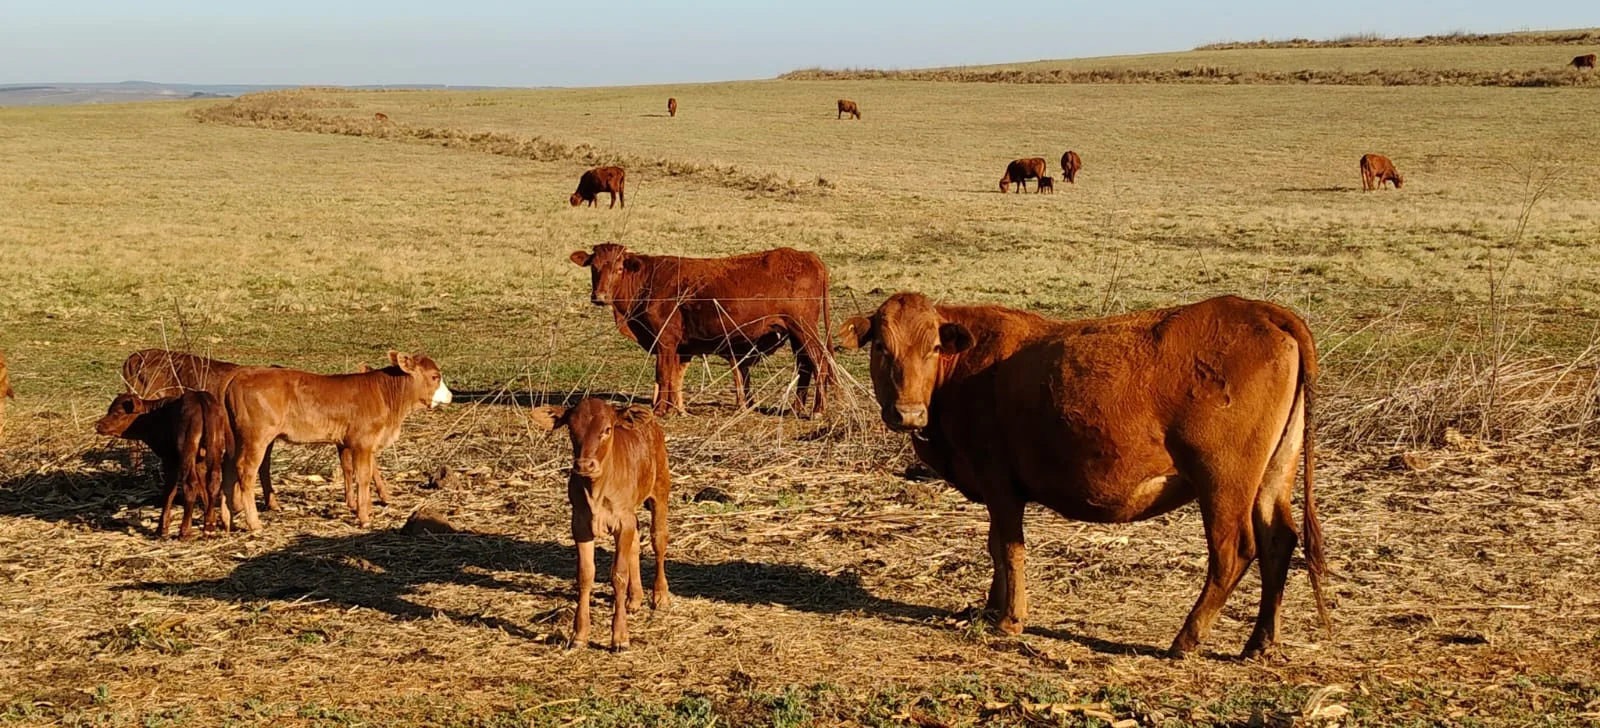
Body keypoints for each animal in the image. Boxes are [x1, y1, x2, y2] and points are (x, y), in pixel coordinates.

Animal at [95, 392, 231, 539]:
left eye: (118, 412)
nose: (98, 425)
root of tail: (200, 396)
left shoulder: (169, 457)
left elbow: (169, 492)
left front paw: (162, 529)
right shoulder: (199, 460)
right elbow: (203, 488)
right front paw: (210, 522)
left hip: (186, 447)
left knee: (190, 484)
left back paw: (184, 531)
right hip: (215, 444)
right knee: (214, 481)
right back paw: (209, 528)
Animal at [223, 351, 451, 531]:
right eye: (435, 376)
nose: (450, 396)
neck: (384, 395)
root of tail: (240, 376)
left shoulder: (354, 443)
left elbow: (357, 471)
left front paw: (364, 508)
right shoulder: (363, 443)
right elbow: (363, 477)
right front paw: (364, 517)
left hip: (237, 438)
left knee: (228, 468)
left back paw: (227, 521)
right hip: (257, 438)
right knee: (246, 472)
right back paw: (254, 523)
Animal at [532, 399, 671, 651]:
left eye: (607, 430)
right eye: (571, 429)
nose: (584, 464)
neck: (596, 490)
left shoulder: (622, 521)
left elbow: (618, 574)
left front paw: (620, 637)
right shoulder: (580, 523)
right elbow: (585, 574)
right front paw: (579, 635)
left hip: (661, 490)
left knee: (658, 539)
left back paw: (660, 594)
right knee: (636, 542)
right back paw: (634, 598)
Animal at [570, 243, 833, 417]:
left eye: (619, 268)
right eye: (594, 267)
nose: (599, 297)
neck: (648, 281)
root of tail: (808, 256)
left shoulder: (665, 340)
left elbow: (663, 375)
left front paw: (661, 409)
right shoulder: (681, 346)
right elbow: (675, 376)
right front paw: (676, 408)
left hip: (803, 328)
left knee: (819, 362)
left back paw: (818, 410)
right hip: (795, 333)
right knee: (805, 365)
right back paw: (796, 408)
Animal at [837, 292, 1329, 659]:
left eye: (934, 348)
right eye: (881, 347)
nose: (907, 413)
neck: (967, 368)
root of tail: (1262, 311)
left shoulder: (999, 479)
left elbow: (1009, 548)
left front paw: (1009, 619)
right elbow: (996, 546)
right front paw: (989, 608)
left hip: (1223, 480)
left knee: (1234, 552)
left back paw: (1187, 638)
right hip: (1273, 473)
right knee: (1278, 541)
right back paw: (1260, 642)